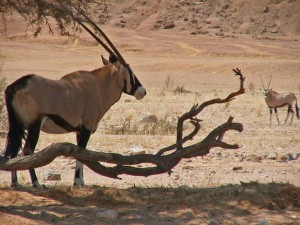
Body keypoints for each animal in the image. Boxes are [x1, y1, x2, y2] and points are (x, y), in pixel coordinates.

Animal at [3, 12, 146, 188]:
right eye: (130, 72)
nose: (142, 91)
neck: (97, 85)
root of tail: (14, 87)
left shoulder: (79, 130)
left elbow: (81, 155)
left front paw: (81, 181)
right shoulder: (86, 128)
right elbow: (81, 154)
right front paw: (77, 182)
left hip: (18, 125)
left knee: (13, 151)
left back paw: (15, 183)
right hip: (34, 125)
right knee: (27, 151)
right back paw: (37, 184)